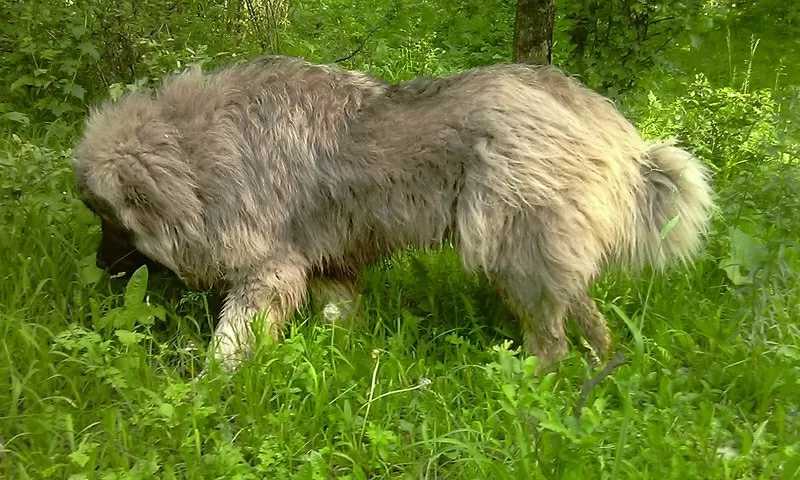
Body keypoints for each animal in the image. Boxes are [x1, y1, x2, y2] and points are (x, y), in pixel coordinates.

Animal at [72, 55, 716, 372]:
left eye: (112, 223)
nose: (98, 267)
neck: (193, 154)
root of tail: (597, 117)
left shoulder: (268, 270)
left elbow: (232, 339)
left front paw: (212, 383)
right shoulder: (327, 259)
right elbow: (339, 312)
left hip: (513, 249)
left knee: (551, 336)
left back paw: (532, 382)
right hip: (541, 254)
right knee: (585, 315)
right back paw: (602, 363)